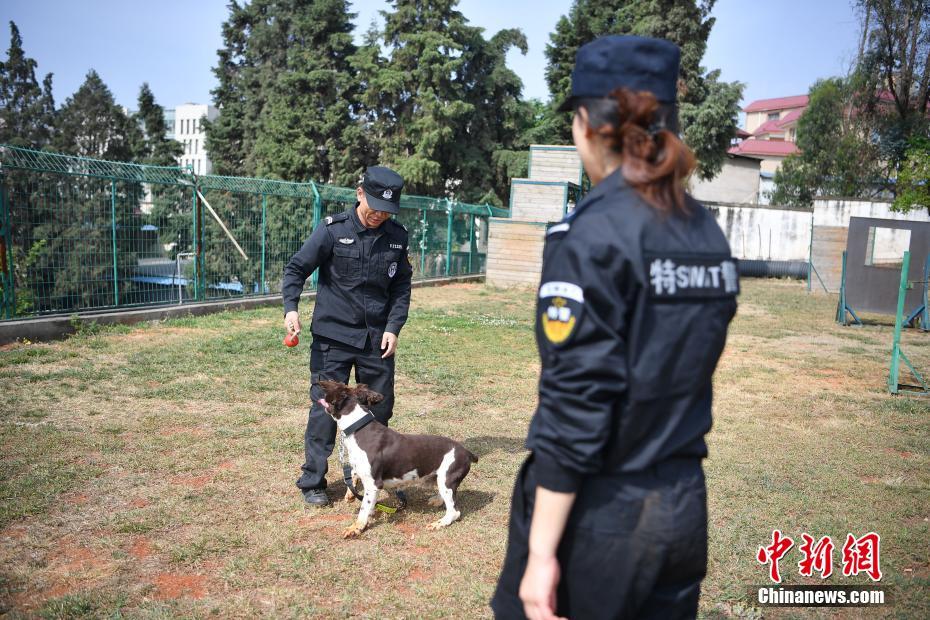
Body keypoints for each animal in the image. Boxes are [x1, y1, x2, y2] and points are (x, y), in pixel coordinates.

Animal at [318, 380, 478, 536]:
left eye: (335, 384)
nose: (321, 382)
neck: (358, 429)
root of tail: (467, 453)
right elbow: (353, 474)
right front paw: (351, 495)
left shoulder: (373, 484)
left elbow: (364, 509)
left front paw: (356, 528)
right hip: (441, 478)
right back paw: (437, 500)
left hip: (448, 478)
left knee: (454, 511)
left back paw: (438, 523)